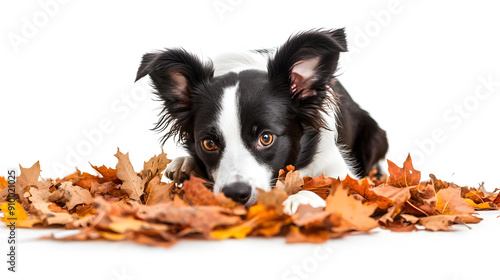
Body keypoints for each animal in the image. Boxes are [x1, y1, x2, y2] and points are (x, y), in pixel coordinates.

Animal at [135, 29, 388, 214]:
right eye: (209, 143)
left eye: (266, 138)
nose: (236, 194)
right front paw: (186, 163)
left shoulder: (339, 166)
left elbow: (335, 183)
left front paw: (302, 199)